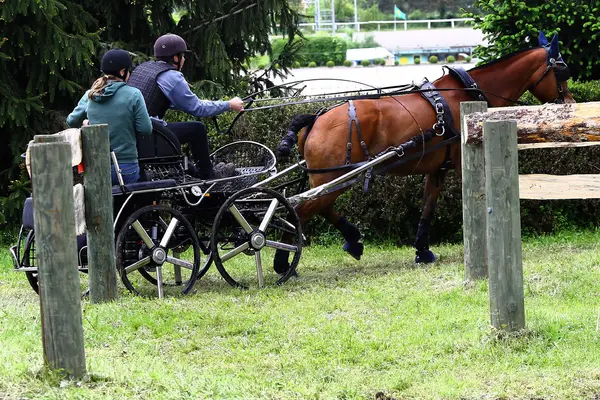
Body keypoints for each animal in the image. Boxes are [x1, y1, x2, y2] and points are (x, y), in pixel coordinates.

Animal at [274, 31, 576, 272]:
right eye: (562, 71)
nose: (570, 103)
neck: (467, 93)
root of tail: (316, 118)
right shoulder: (464, 163)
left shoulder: (437, 168)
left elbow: (428, 206)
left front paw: (422, 250)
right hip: (333, 178)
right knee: (300, 210)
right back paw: (285, 261)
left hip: (328, 178)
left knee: (313, 207)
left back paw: (351, 240)